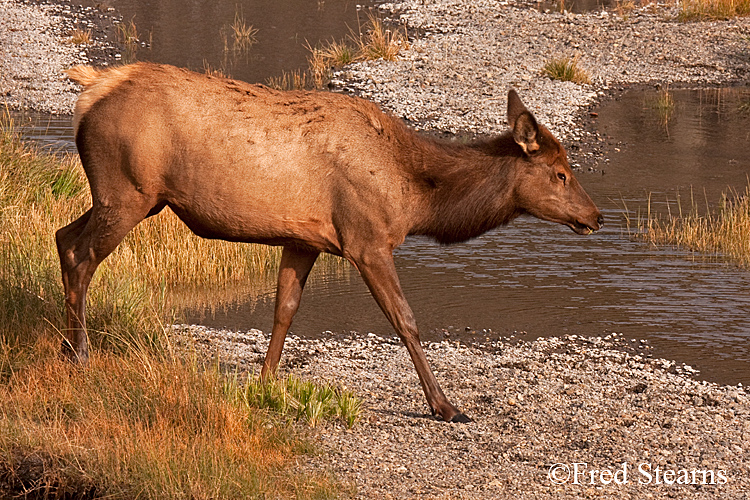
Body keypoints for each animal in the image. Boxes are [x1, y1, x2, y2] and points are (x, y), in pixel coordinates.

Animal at [58, 62, 604, 422]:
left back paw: (66, 345)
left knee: (63, 237)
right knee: (83, 255)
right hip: (127, 190)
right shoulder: (366, 239)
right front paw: (446, 406)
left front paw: (265, 383)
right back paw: (79, 353)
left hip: (132, 197)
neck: (414, 196)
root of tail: (91, 87)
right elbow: (405, 319)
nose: (596, 217)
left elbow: (284, 310)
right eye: (560, 173)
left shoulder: (305, 239)